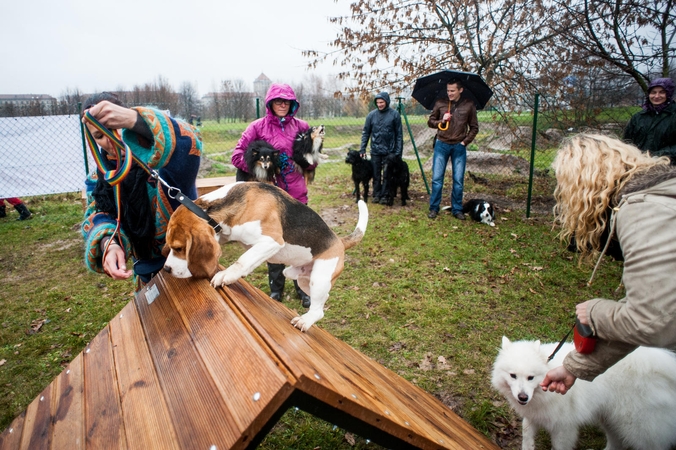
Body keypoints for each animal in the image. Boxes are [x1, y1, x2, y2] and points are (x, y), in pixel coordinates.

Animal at [161, 181, 368, 332]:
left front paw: (226, 275)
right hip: (303, 279)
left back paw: (305, 320)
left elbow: (243, 260)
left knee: (318, 311)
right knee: (322, 302)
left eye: (179, 248)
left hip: (318, 278)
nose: (166, 269)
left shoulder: (272, 241)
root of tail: (339, 241)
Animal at [492, 338, 676, 450]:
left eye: (531, 377)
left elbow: (559, 446)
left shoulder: (564, 427)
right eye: (513, 375)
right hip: (612, 420)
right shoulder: (534, 416)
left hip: (640, 429)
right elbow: (527, 437)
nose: (523, 397)